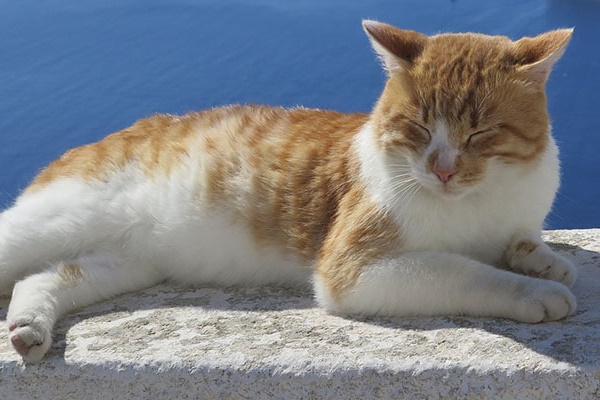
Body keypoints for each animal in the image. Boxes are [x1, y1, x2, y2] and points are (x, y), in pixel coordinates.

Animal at [0, 20, 576, 362]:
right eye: (416, 127)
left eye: (479, 134)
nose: (442, 170)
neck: (484, 197)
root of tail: (95, 142)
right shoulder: (352, 269)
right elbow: (467, 271)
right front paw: (534, 291)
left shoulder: (517, 217)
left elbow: (521, 242)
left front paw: (543, 261)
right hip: (50, 221)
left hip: (126, 260)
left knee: (46, 278)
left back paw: (29, 327)